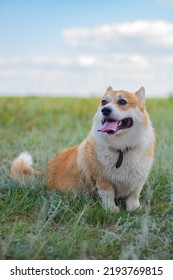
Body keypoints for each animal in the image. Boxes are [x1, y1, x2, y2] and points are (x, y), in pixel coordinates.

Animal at [10, 86, 155, 211]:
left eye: (122, 101)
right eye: (103, 102)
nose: (105, 110)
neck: (121, 149)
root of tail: (44, 171)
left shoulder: (138, 181)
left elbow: (134, 196)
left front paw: (135, 209)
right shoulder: (103, 180)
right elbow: (108, 195)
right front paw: (112, 210)